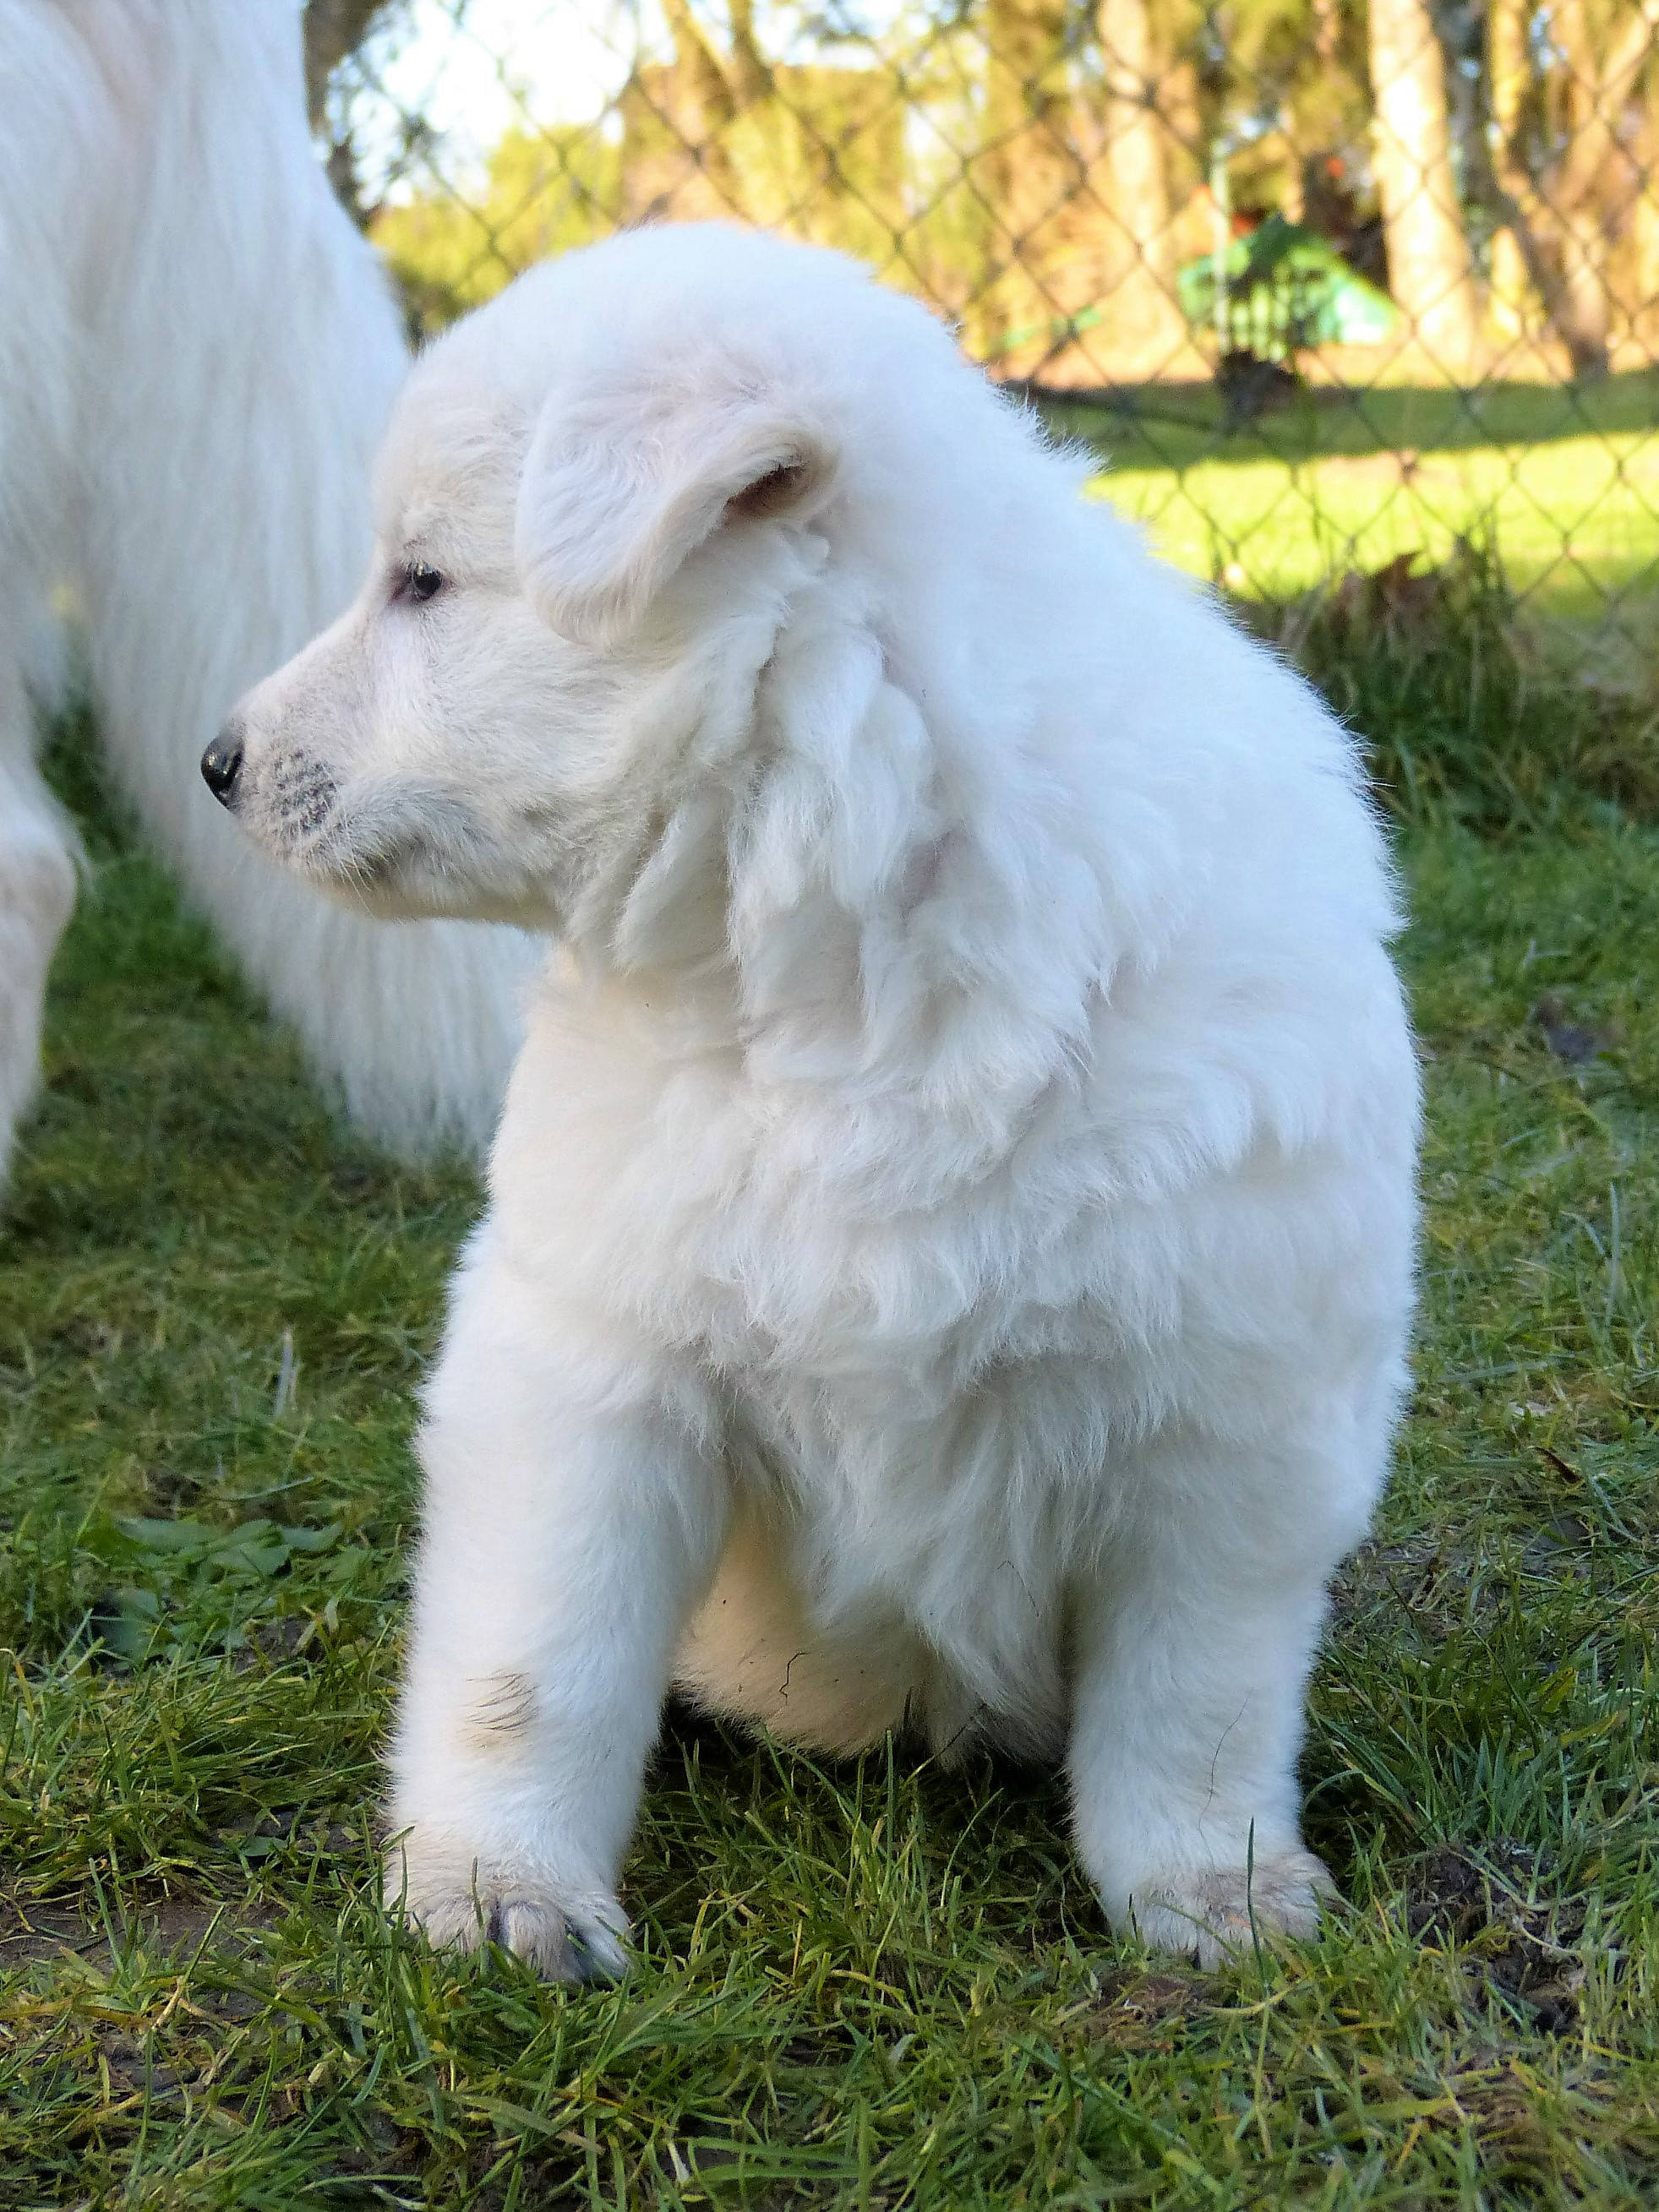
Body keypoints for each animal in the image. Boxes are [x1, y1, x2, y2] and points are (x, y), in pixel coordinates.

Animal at [214, 224, 1424, 1973]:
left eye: (422, 582)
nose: (214, 762)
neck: (838, 969)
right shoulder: (588, 1365)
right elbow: (534, 1662)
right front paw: (497, 1889)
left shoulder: (1231, 1412)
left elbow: (1189, 1698)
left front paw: (1212, 1889)